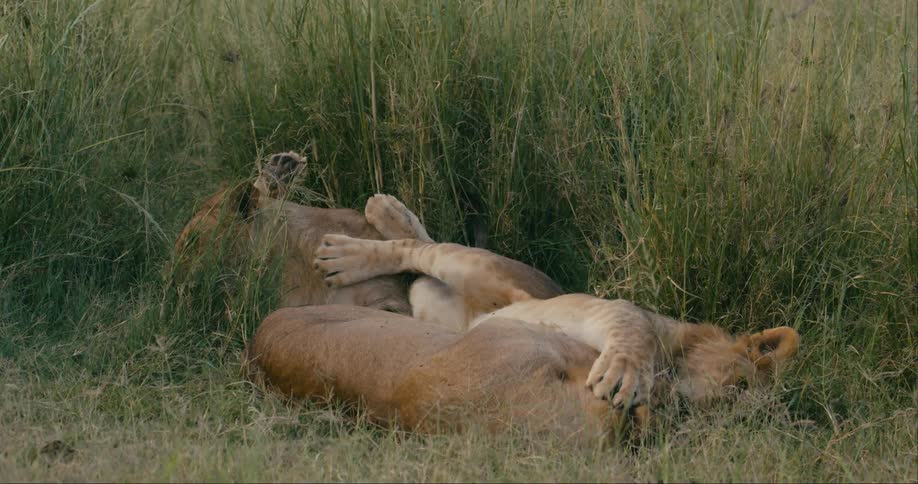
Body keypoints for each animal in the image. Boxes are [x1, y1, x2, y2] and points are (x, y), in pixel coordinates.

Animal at [177, 152, 800, 442]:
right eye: (739, 385)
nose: (690, 420)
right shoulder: (599, 309)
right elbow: (632, 324)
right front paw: (626, 370)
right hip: (498, 281)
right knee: (426, 248)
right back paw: (354, 224)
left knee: (425, 261)